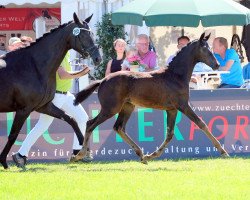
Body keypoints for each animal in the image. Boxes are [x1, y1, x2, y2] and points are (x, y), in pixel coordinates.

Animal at [0, 12, 101, 169]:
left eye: (92, 33)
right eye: (83, 35)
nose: (98, 58)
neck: (34, 66)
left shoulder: (44, 106)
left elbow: (70, 119)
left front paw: (80, 148)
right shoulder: (24, 109)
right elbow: (13, 135)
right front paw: (5, 161)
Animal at [72, 32, 229, 163]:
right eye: (205, 48)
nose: (217, 65)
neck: (175, 76)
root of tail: (103, 80)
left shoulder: (172, 109)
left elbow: (170, 134)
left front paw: (151, 155)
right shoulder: (183, 106)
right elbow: (201, 123)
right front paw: (223, 151)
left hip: (127, 107)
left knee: (119, 127)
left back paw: (141, 155)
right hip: (111, 108)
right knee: (90, 124)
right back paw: (79, 155)